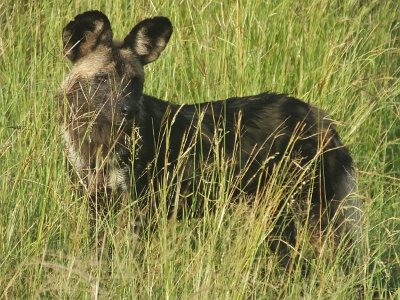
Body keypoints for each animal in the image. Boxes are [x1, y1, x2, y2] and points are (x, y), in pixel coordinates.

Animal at [59, 11, 362, 255]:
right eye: (102, 79)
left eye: (134, 82)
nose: (128, 111)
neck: (99, 143)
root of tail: (319, 117)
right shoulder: (96, 205)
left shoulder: (137, 213)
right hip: (277, 217)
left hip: (313, 214)